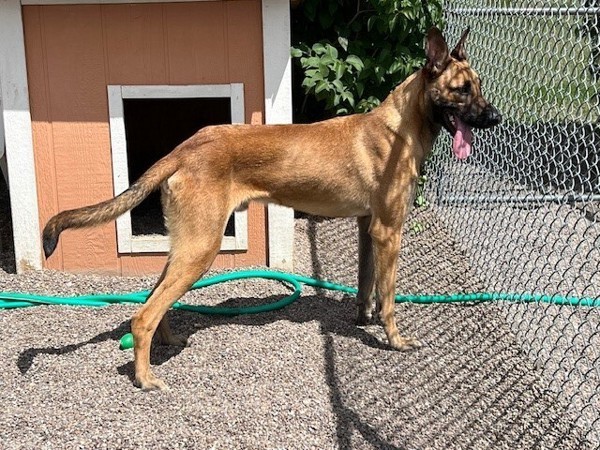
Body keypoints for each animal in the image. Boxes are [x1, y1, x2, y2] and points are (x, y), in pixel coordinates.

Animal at [43, 27, 502, 390]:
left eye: (479, 86)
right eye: (462, 90)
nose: (496, 118)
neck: (401, 127)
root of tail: (186, 147)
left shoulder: (368, 227)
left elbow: (367, 283)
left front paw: (363, 319)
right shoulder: (389, 230)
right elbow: (388, 295)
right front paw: (394, 339)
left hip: (186, 245)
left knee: (156, 300)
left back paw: (168, 342)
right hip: (201, 247)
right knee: (142, 315)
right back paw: (145, 377)